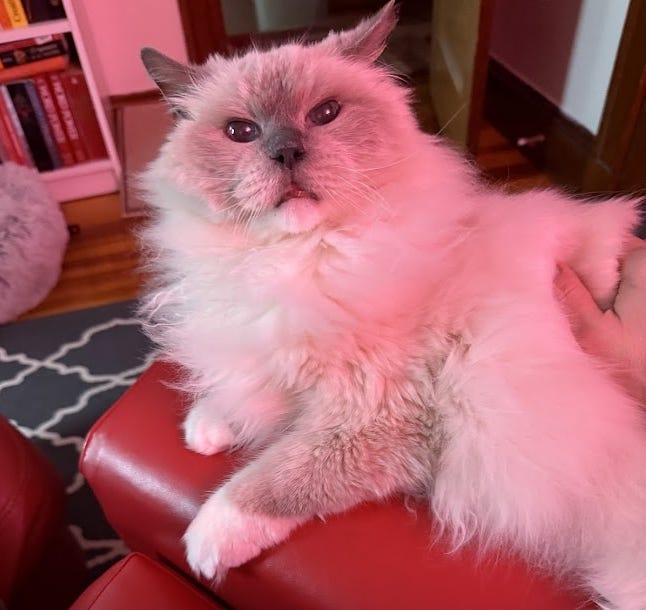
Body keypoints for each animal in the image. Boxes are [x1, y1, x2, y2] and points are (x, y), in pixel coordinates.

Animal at [139, 3, 644, 604]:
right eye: (241, 132)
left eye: (325, 114)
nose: (287, 151)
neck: (300, 260)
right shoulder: (270, 355)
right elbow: (249, 397)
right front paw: (207, 428)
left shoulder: (376, 419)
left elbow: (273, 479)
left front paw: (206, 539)